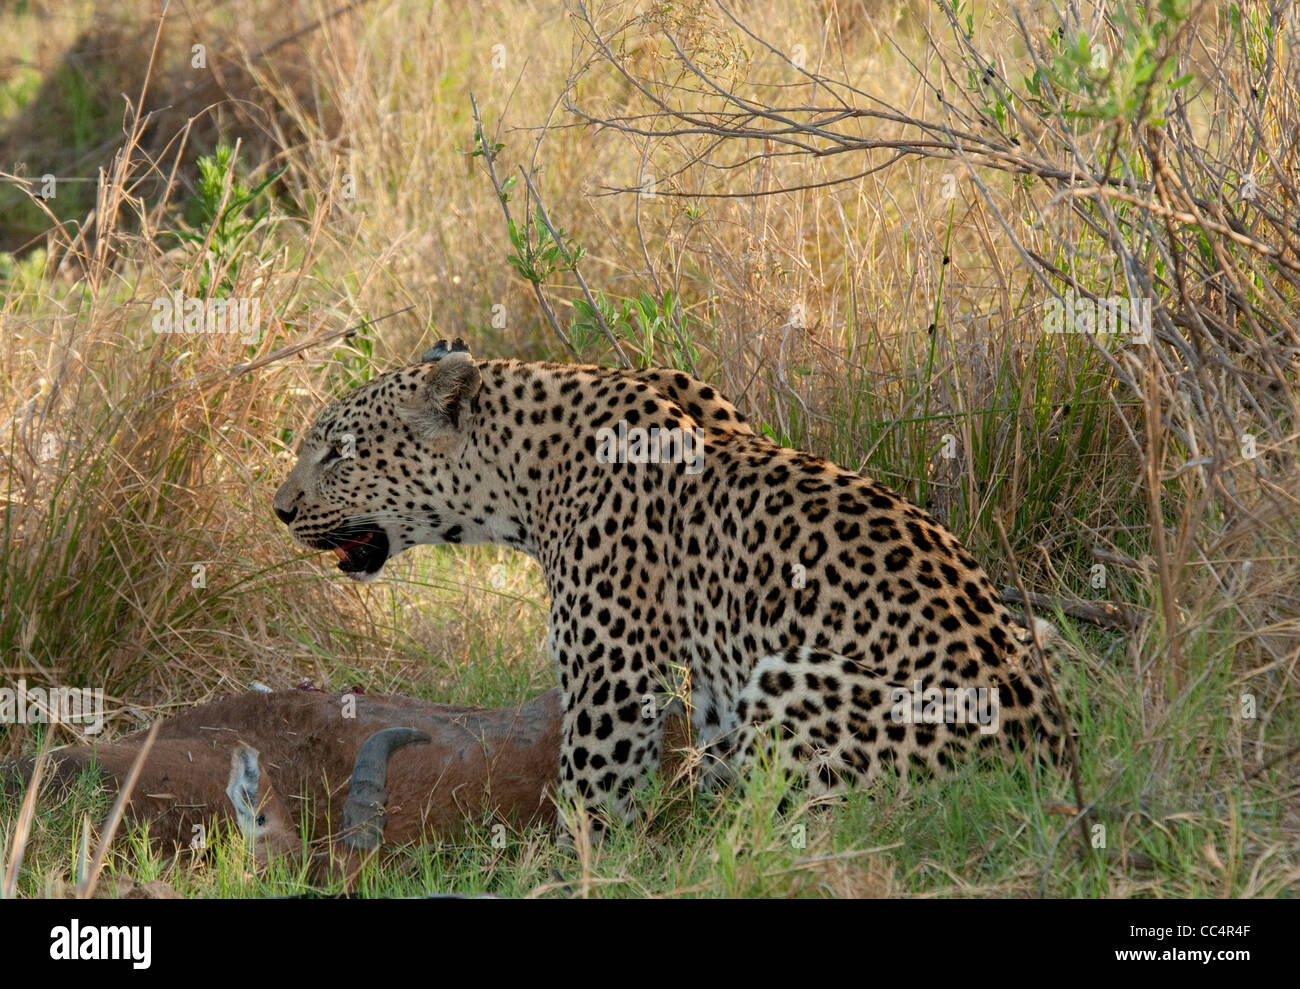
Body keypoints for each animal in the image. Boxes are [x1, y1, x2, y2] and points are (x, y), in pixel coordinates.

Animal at [274, 335, 1066, 831]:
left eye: (339, 453)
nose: (278, 509)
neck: (524, 476)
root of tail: (1046, 759)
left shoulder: (612, 677)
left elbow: (592, 797)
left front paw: (570, 869)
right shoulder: (710, 683)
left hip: (794, 676)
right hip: (1041, 631)